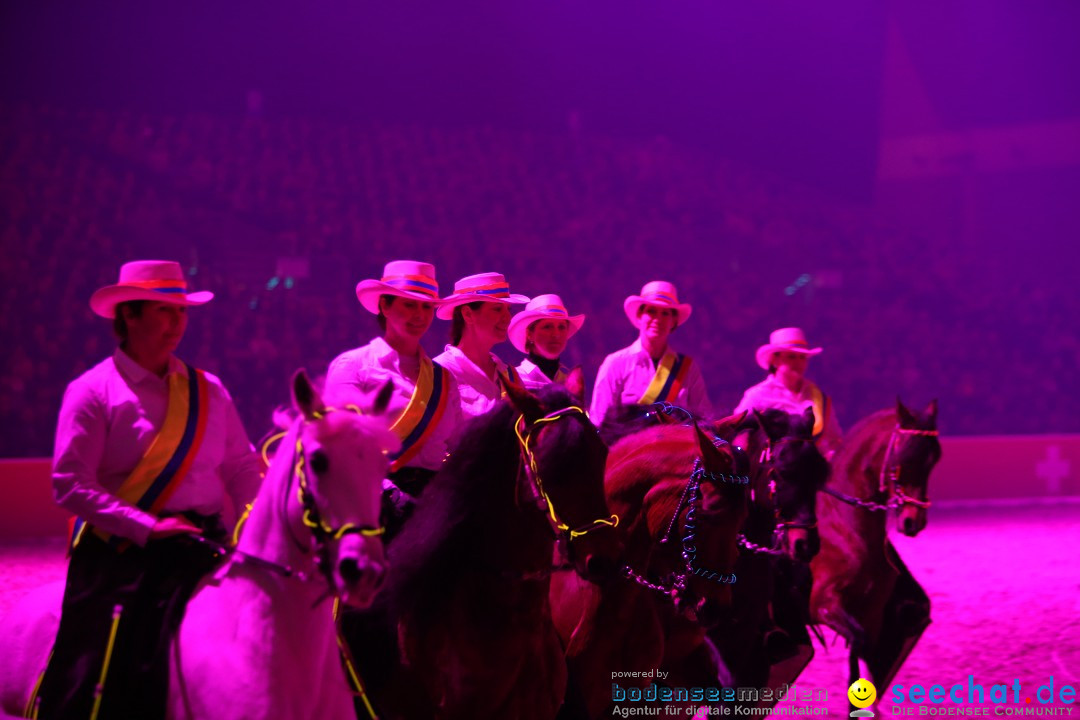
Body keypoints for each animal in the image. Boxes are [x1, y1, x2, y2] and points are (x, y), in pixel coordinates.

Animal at [812, 399, 937, 690]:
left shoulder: (873, 608)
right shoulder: (821, 603)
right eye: (901, 459)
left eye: (933, 461)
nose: (913, 521)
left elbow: (864, 648)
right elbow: (857, 641)